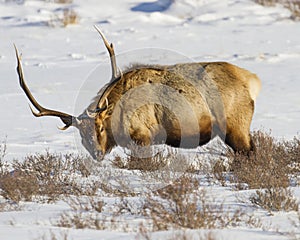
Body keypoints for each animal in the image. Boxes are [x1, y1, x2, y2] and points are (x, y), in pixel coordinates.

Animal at [15, 26, 262, 160]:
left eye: (100, 127)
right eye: (81, 134)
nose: (97, 154)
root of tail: (252, 80)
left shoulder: (142, 137)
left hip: (235, 125)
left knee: (249, 152)